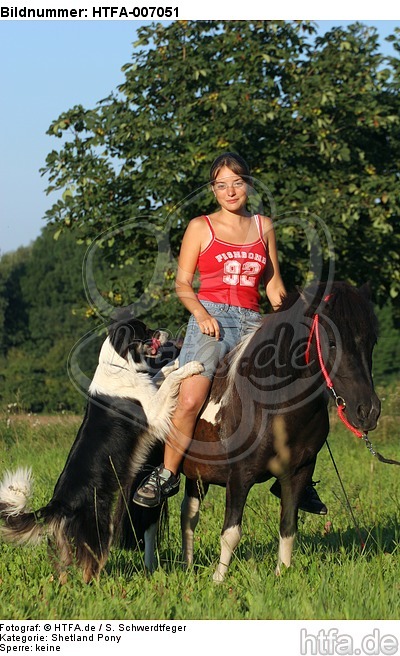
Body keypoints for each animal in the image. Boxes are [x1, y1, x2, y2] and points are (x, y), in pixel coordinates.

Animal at [0, 314, 202, 584]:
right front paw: (191, 367)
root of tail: (58, 504)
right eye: (145, 330)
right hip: (98, 529)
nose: (165, 332)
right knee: (90, 567)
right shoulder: (153, 413)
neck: (119, 364)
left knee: (62, 570)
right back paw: (96, 587)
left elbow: (160, 373)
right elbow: (167, 380)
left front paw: (177, 362)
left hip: (64, 543)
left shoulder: (149, 389)